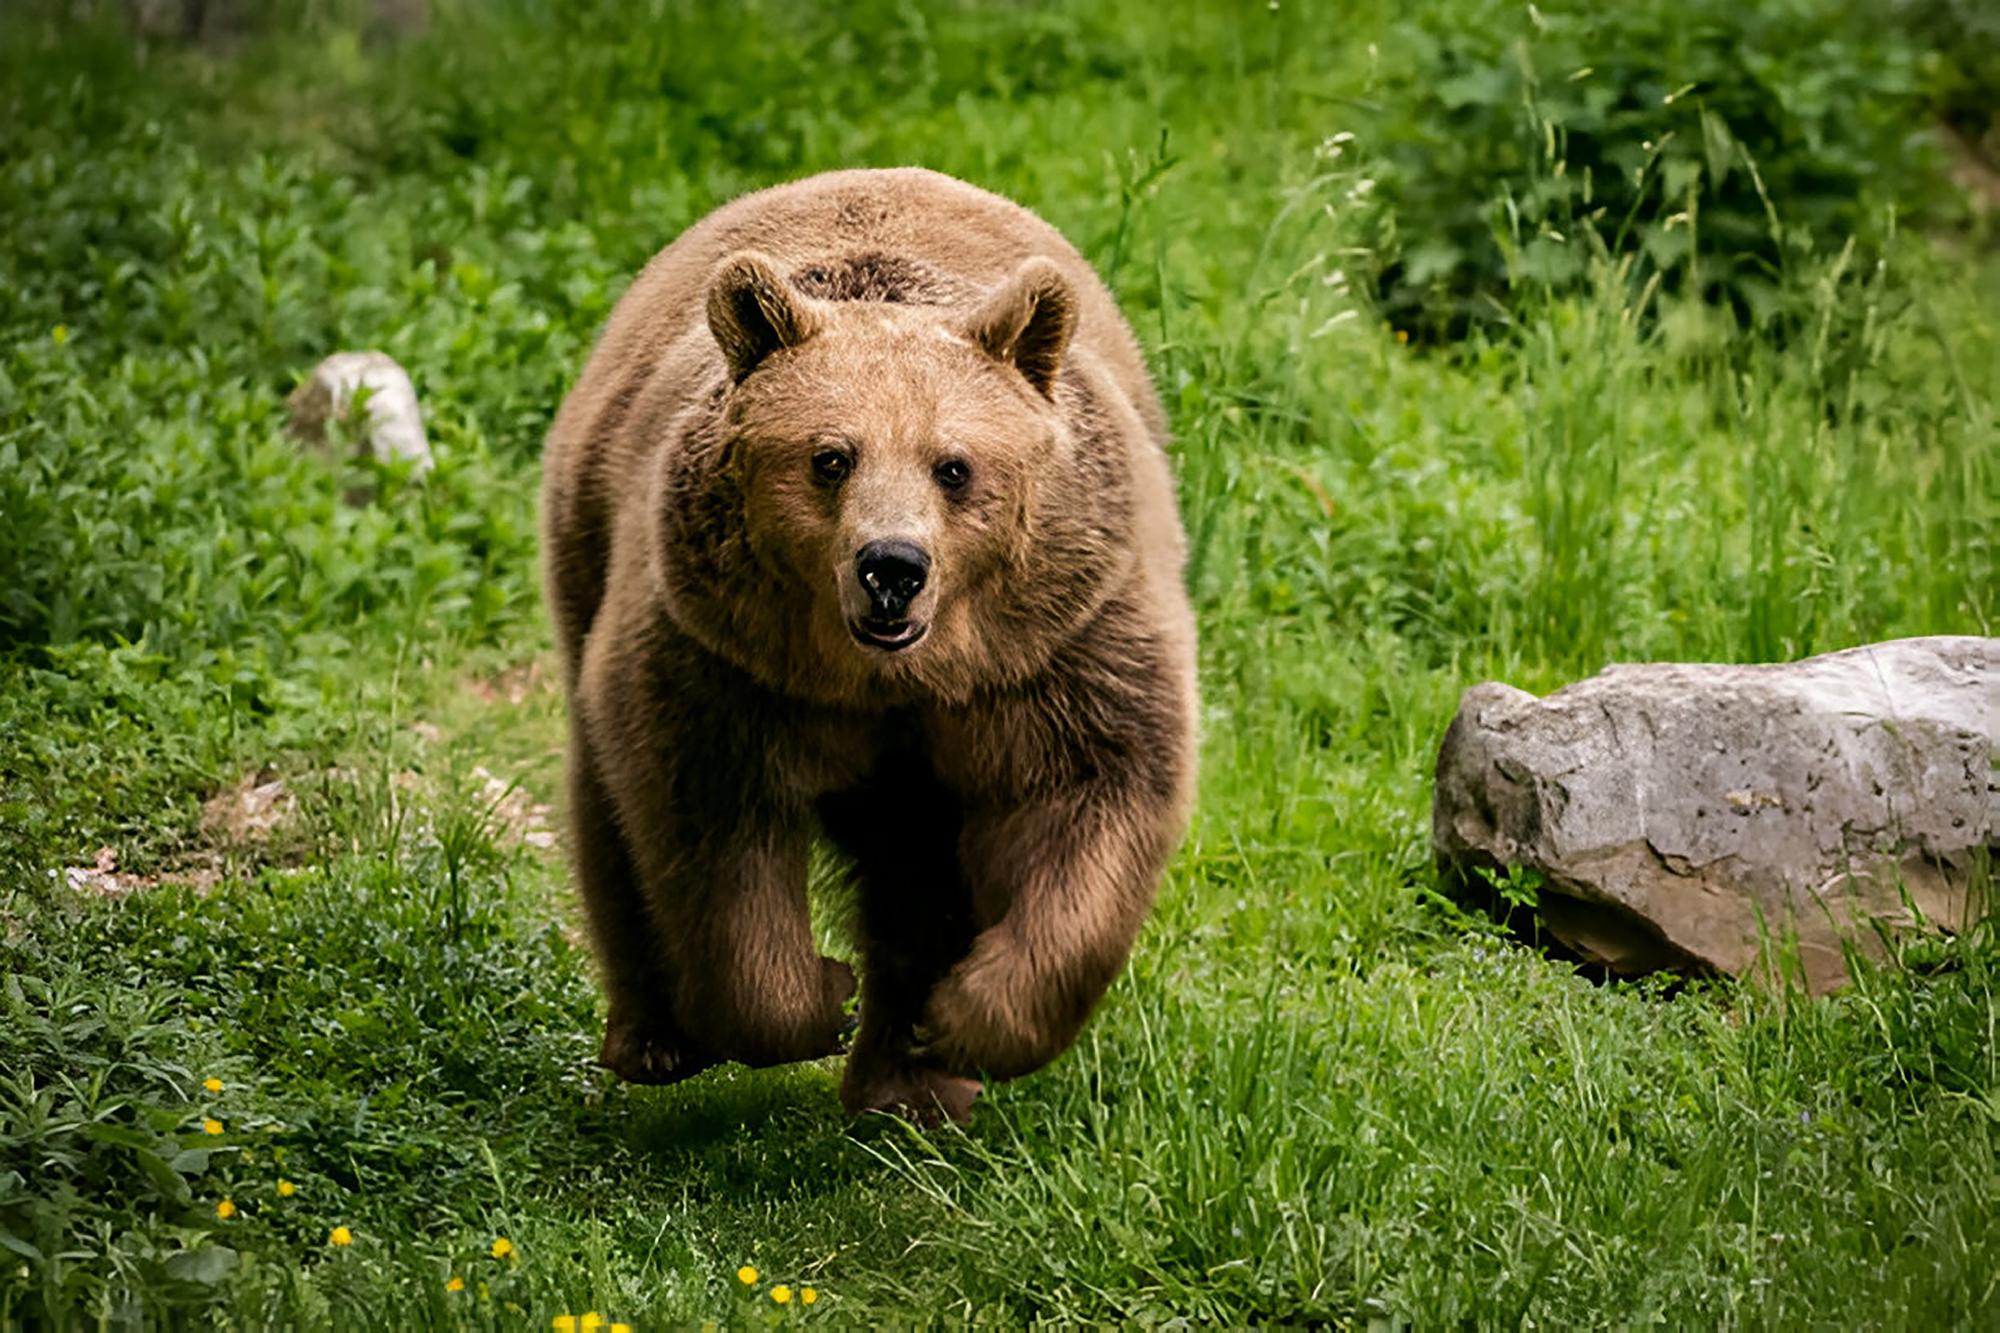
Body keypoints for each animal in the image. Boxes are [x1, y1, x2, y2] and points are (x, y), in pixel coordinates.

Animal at [540, 166, 1192, 1120]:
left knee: (918, 868)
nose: (892, 567)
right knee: (610, 812)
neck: (890, 678)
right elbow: (712, 830)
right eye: (830, 457)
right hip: (592, 551)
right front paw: (821, 994)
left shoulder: (1053, 647)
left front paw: (963, 1017)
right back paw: (659, 1039)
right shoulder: (727, 658)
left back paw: (909, 1084)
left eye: (953, 465)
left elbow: (1094, 789)